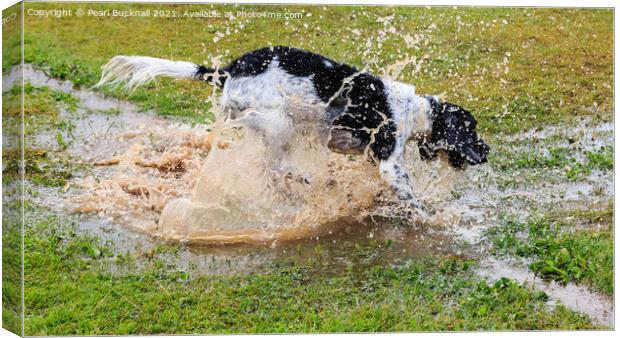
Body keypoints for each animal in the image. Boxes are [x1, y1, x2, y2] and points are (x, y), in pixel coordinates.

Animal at [95, 46, 490, 213]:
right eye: (471, 128)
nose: (487, 150)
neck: (415, 111)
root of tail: (226, 71)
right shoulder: (390, 164)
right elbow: (414, 200)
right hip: (278, 121)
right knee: (273, 165)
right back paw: (306, 178)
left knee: (270, 167)